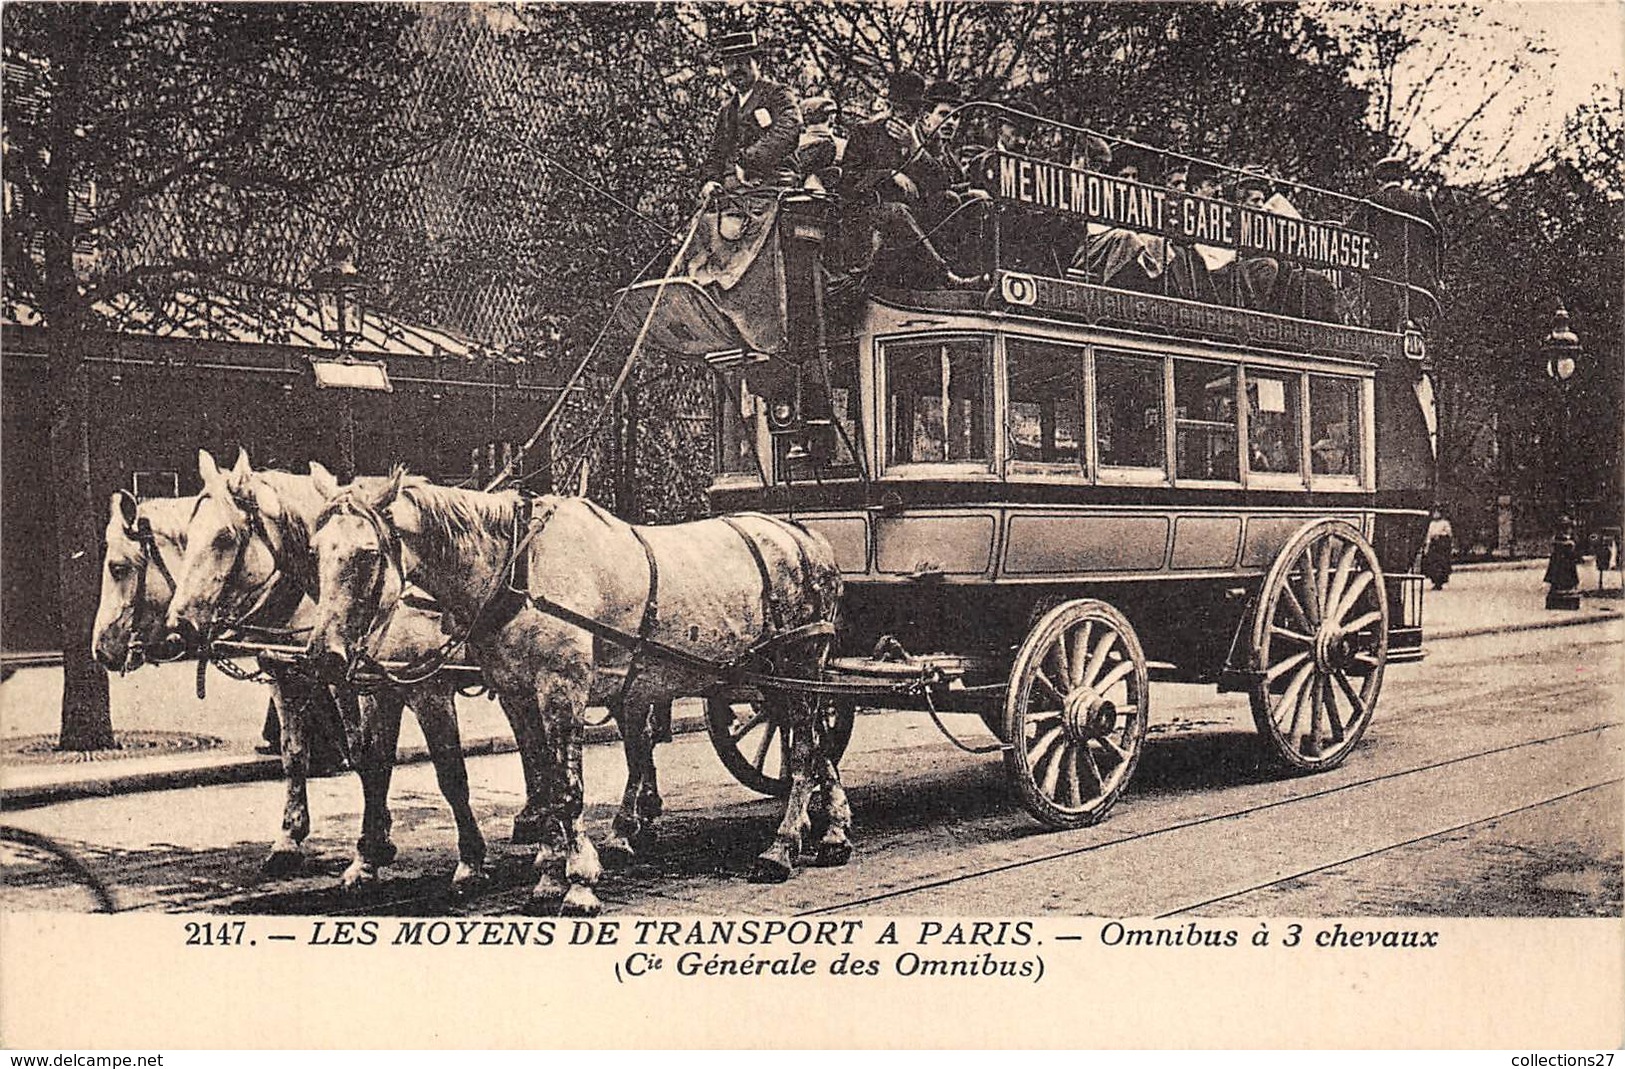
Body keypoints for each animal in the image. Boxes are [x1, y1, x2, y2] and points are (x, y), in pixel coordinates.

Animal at [302, 471, 851, 909]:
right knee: (813, 746)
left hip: (800, 661)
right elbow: (542, 783)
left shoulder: (559, 690)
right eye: (315, 552)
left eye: (368, 554)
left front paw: (579, 881)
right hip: (772, 678)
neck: (519, 570)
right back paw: (831, 833)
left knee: (805, 750)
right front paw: (547, 876)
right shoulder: (517, 695)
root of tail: (806, 536)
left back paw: (782, 847)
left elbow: (566, 791)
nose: (323, 655)